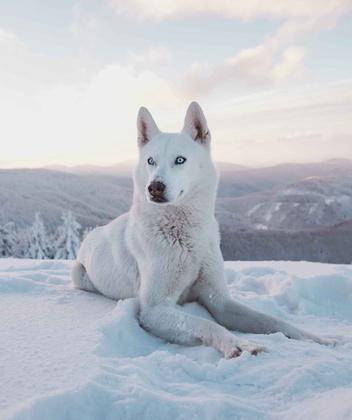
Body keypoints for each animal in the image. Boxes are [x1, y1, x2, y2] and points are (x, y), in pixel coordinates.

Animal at [73, 101, 334, 358]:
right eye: (150, 161)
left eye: (180, 160)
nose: (154, 187)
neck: (185, 236)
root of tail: (93, 233)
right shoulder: (155, 309)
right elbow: (207, 324)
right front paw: (238, 344)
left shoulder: (220, 301)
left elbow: (272, 321)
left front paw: (317, 339)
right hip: (79, 275)